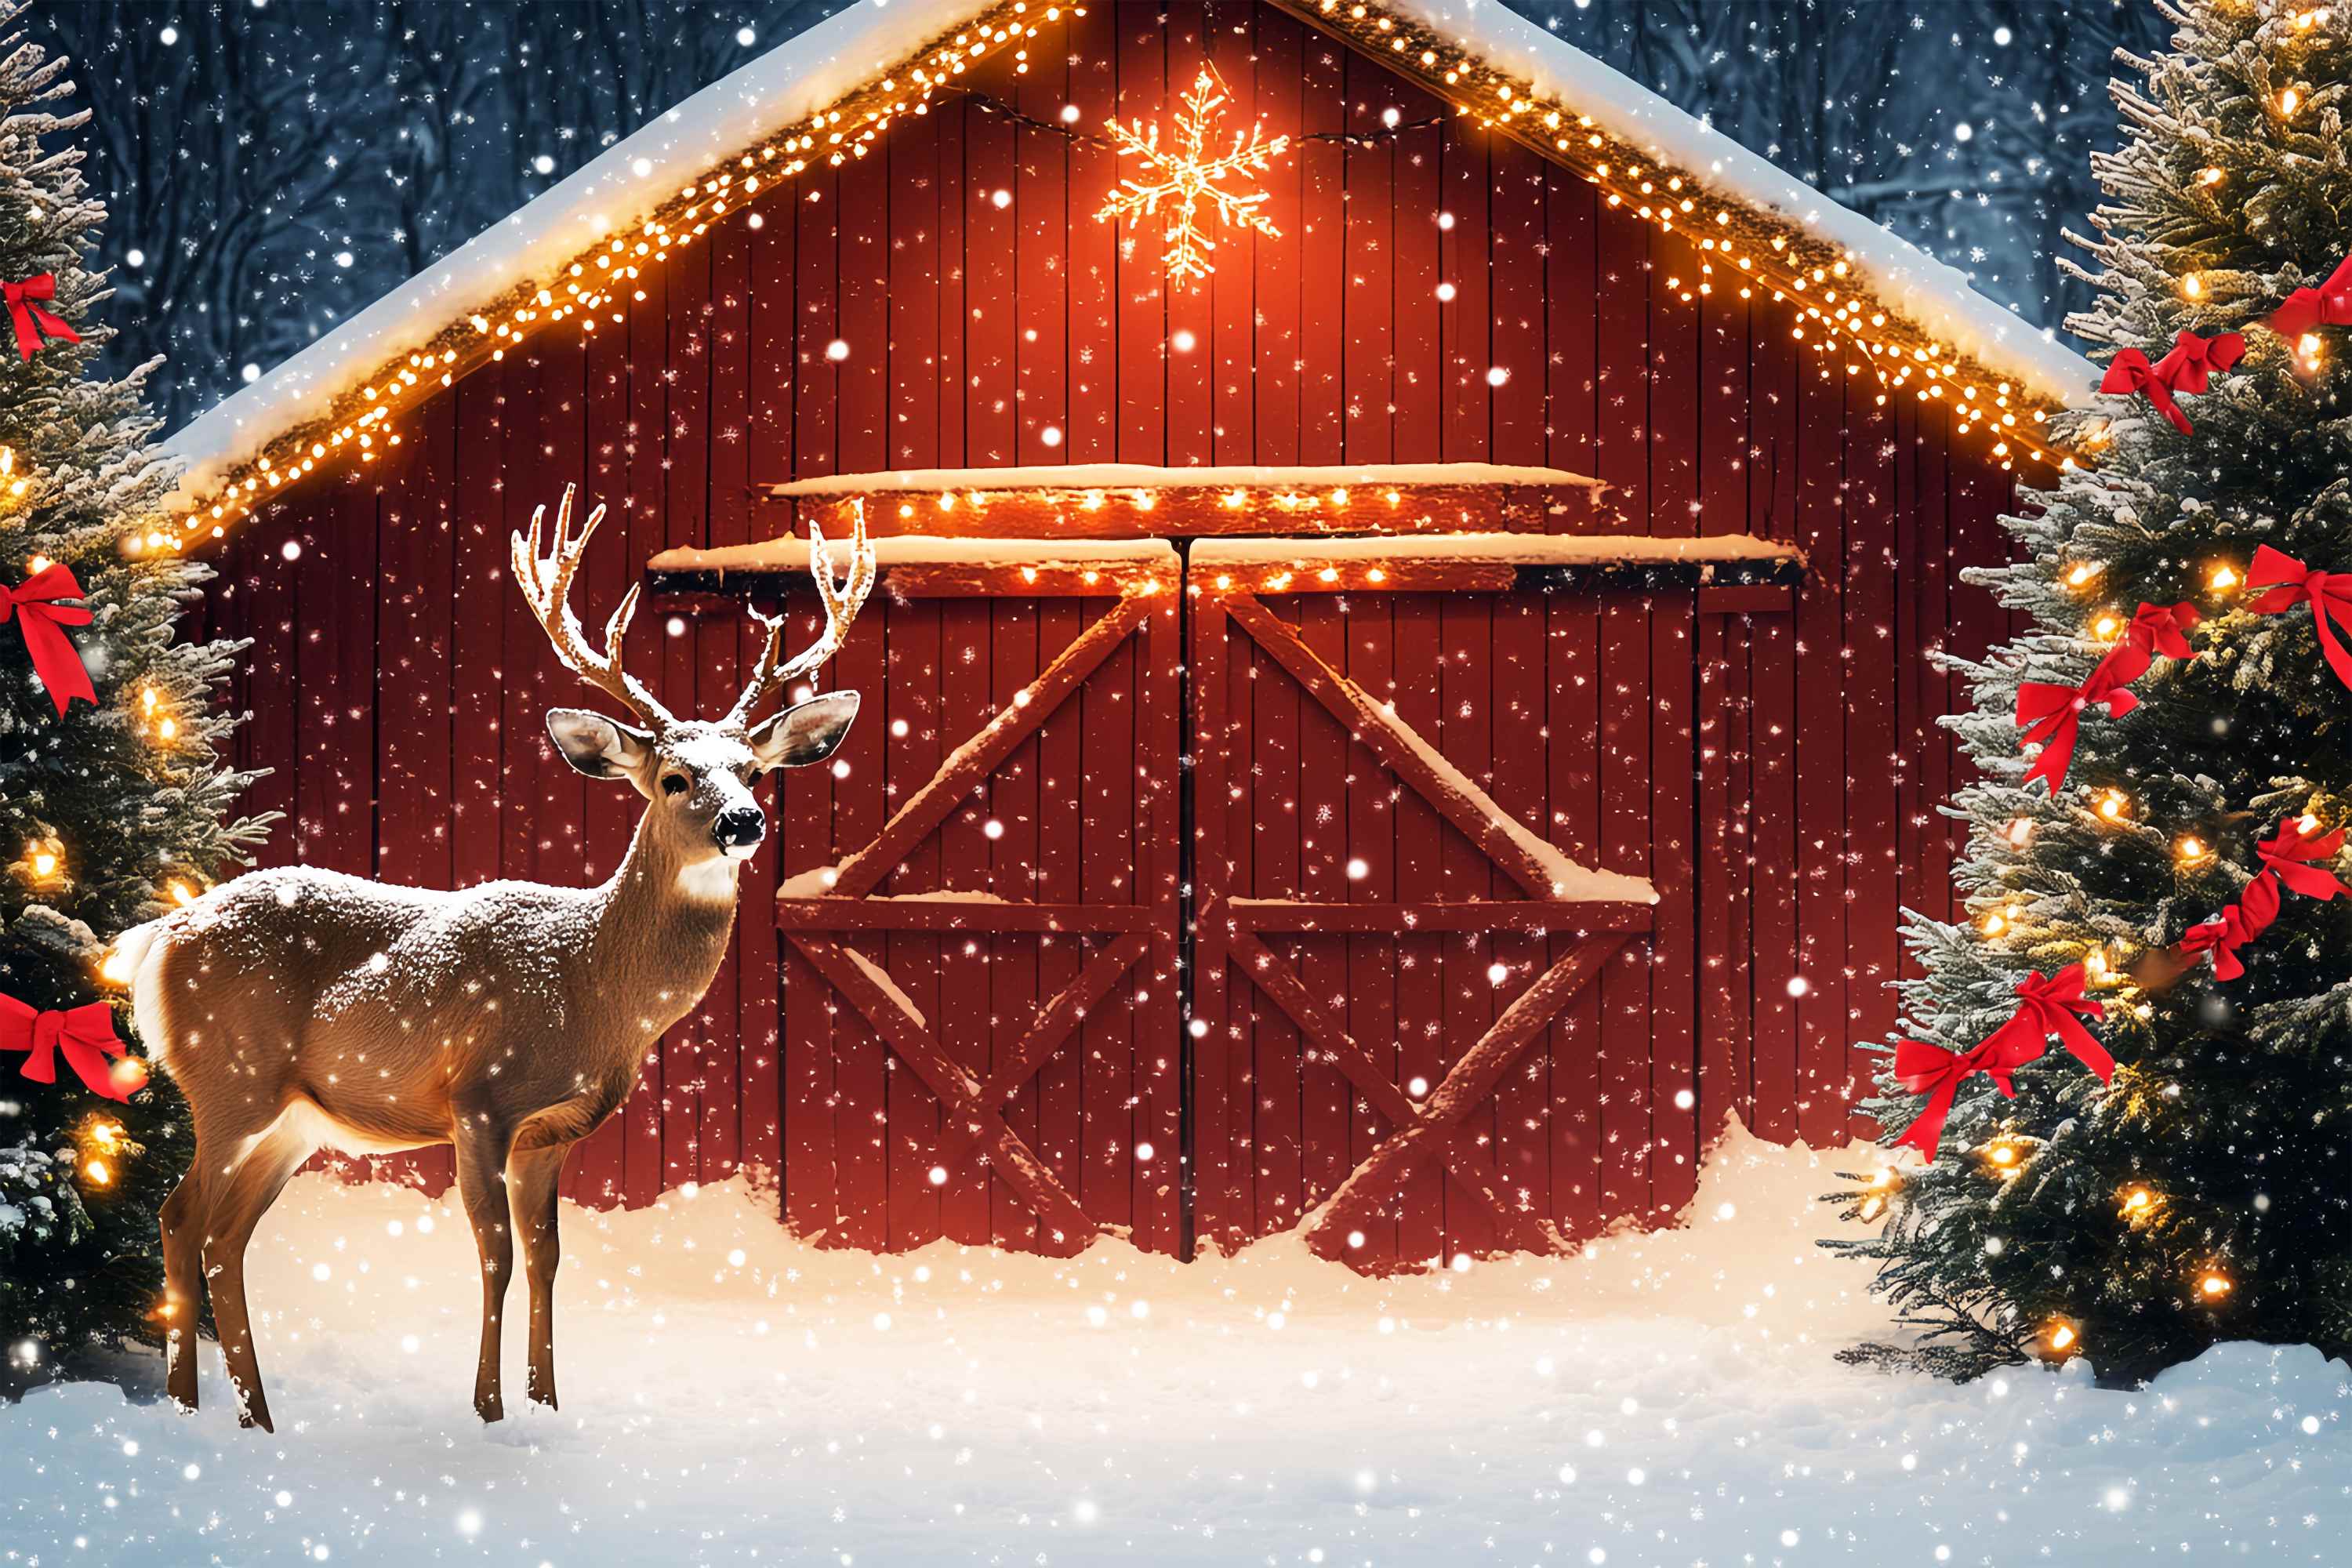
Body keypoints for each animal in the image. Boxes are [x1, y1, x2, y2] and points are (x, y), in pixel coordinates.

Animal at [112, 484, 875, 1431]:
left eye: (755, 771)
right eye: (673, 778)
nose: (744, 820)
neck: (590, 985)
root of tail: (159, 937)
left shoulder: (556, 1128)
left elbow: (549, 1257)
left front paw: (547, 1404)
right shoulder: (477, 1097)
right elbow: (495, 1252)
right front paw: (488, 1411)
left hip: (293, 1119)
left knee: (223, 1236)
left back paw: (255, 1416)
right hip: (229, 1080)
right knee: (180, 1218)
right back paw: (191, 1409)